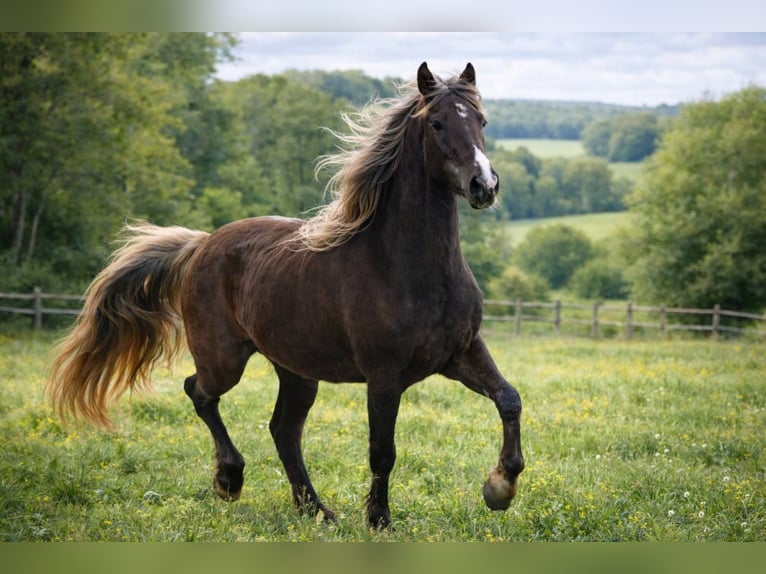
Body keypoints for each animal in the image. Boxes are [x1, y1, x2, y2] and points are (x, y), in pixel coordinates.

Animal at [46, 62, 525, 529]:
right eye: (438, 124)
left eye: (481, 120)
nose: (484, 185)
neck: (410, 269)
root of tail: (200, 244)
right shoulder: (384, 375)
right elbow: (382, 451)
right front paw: (379, 519)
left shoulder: (460, 353)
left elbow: (509, 399)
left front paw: (499, 488)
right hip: (225, 359)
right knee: (199, 391)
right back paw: (231, 479)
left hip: (296, 369)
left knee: (282, 430)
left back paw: (314, 510)